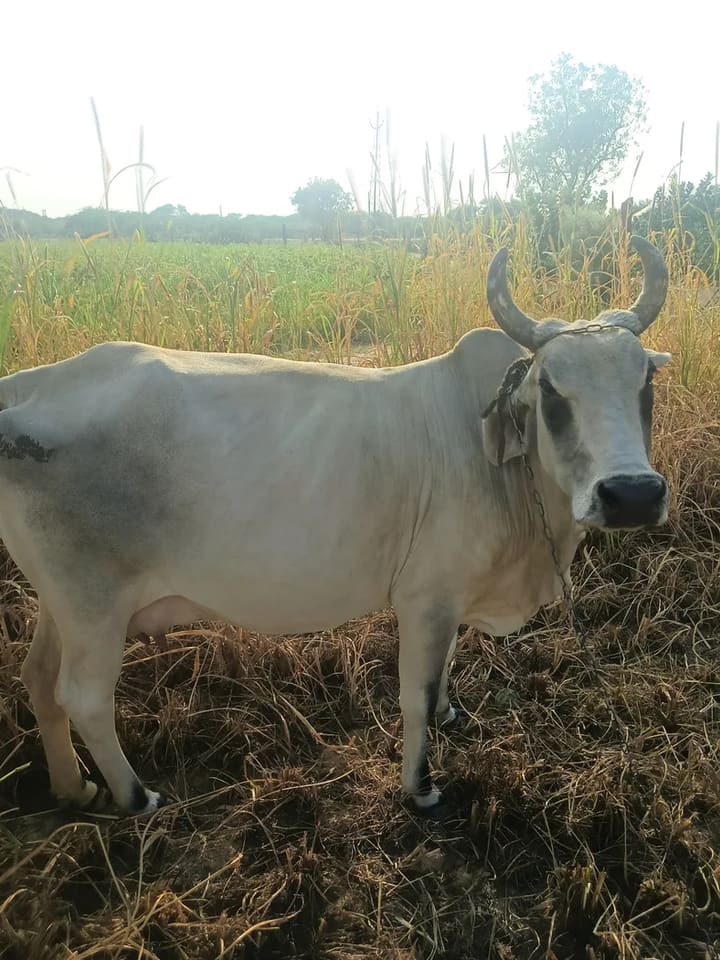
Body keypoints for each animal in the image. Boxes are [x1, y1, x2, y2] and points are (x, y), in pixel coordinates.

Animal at [2, 237, 670, 817]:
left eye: (646, 381)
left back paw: (75, 788)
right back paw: (135, 795)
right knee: (84, 697)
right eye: (551, 389)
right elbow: (415, 696)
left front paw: (449, 713)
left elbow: (445, 672)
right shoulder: (426, 599)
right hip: (94, 604)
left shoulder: (450, 599)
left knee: (39, 680)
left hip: (65, 604)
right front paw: (420, 788)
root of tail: (27, 387)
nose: (632, 494)